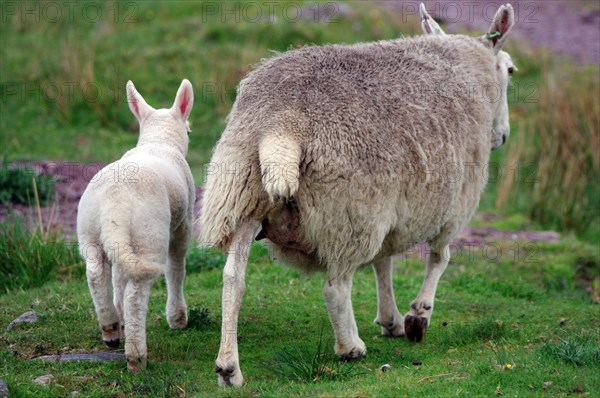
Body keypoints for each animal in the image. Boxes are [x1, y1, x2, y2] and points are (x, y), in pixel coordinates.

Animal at [77, 78, 195, 374]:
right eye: (188, 128)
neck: (158, 142)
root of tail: (115, 201)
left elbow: (119, 276)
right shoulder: (184, 224)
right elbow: (177, 268)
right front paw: (177, 318)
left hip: (92, 230)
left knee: (96, 273)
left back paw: (111, 329)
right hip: (149, 234)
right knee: (136, 294)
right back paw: (136, 355)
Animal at [198, 2, 516, 386]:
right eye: (510, 70)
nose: (503, 136)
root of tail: (283, 122)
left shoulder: (393, 207)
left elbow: (384, 262)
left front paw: (391, 319)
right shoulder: (454, 205)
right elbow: (439, 258)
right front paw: (418, 315)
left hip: (242, 195)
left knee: (234, 279)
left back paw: (229, 367)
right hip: (348, 210)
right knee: (336, 285)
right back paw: (350, 347)